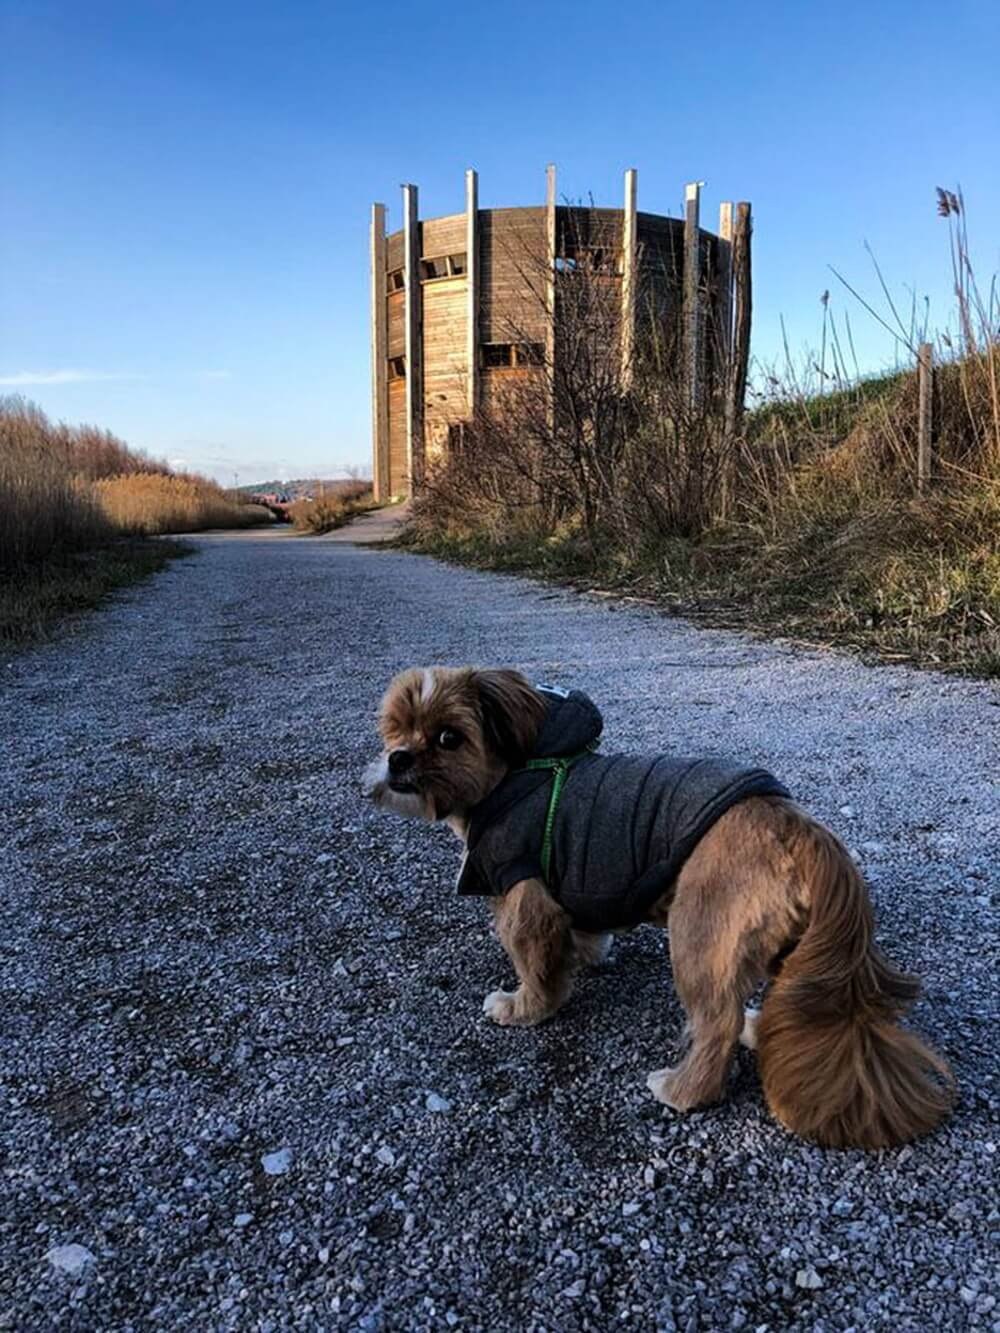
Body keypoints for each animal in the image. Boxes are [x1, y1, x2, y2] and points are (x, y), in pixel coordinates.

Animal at [368, 666, 954, 1146]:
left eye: (449, 738)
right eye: (394, 730)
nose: (398, 758)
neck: (516, 775)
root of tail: (798, 828)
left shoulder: (526, 896)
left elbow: (537, 969)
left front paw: (523, 1008)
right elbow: (583, 932)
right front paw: (587, 954)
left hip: (698, 936)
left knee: (715, 1024)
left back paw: (684, 1089)